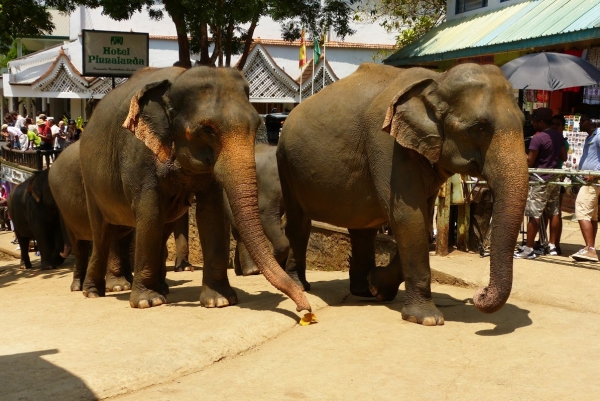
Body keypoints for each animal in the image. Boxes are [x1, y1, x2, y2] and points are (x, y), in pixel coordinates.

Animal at [77, 65, 310, 310]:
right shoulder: (137, 153)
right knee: (103, 232)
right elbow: (150, 211)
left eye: (257, 125)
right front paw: (147, 302)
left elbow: (211, 213)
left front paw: (219, 301)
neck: (176, 80)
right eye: (207, 130)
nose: (304, 309)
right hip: (90, 181)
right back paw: (95, 292)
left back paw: (160, 288)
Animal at [278, 63, 528, 324]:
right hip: (286, 164)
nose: (480, 293)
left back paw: (363, 291)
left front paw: (378, 286)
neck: (437, 80)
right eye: (479, 128)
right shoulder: (386, 144)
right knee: (299, 224)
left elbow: (423, 222)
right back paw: (301, 286)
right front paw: (428, 319)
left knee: (361, 228)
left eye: (524, 123)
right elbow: (407, 217)